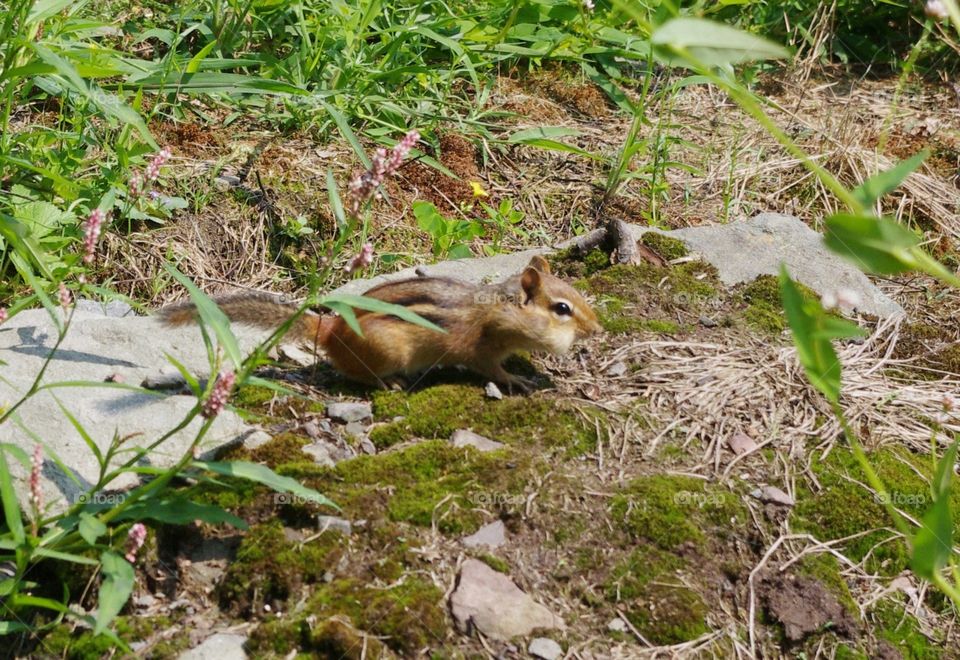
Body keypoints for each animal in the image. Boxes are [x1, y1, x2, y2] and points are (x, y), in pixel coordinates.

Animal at [159, 255, 602, 392]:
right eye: (562, 309)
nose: (597, 330)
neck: (498, 309)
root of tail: (330, 329)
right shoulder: (482, 349)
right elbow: (492, 369)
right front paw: (518, 380)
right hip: (390, 351)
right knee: (356, 375)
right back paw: (390, 383)